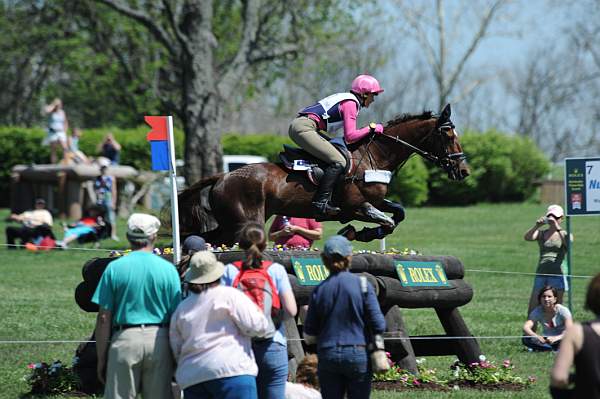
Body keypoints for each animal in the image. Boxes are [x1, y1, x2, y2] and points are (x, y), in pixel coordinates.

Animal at [177, 104, 468, 245]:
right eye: (448, 135)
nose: (463, 171)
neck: (375, 155)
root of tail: (222, 177)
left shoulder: (375, 201)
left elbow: (398, 214)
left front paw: (360, 233)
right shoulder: (357, 206)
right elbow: (386, 222)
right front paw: (357, 233)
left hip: (230, 224)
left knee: (203, 240)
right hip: (245, 224)